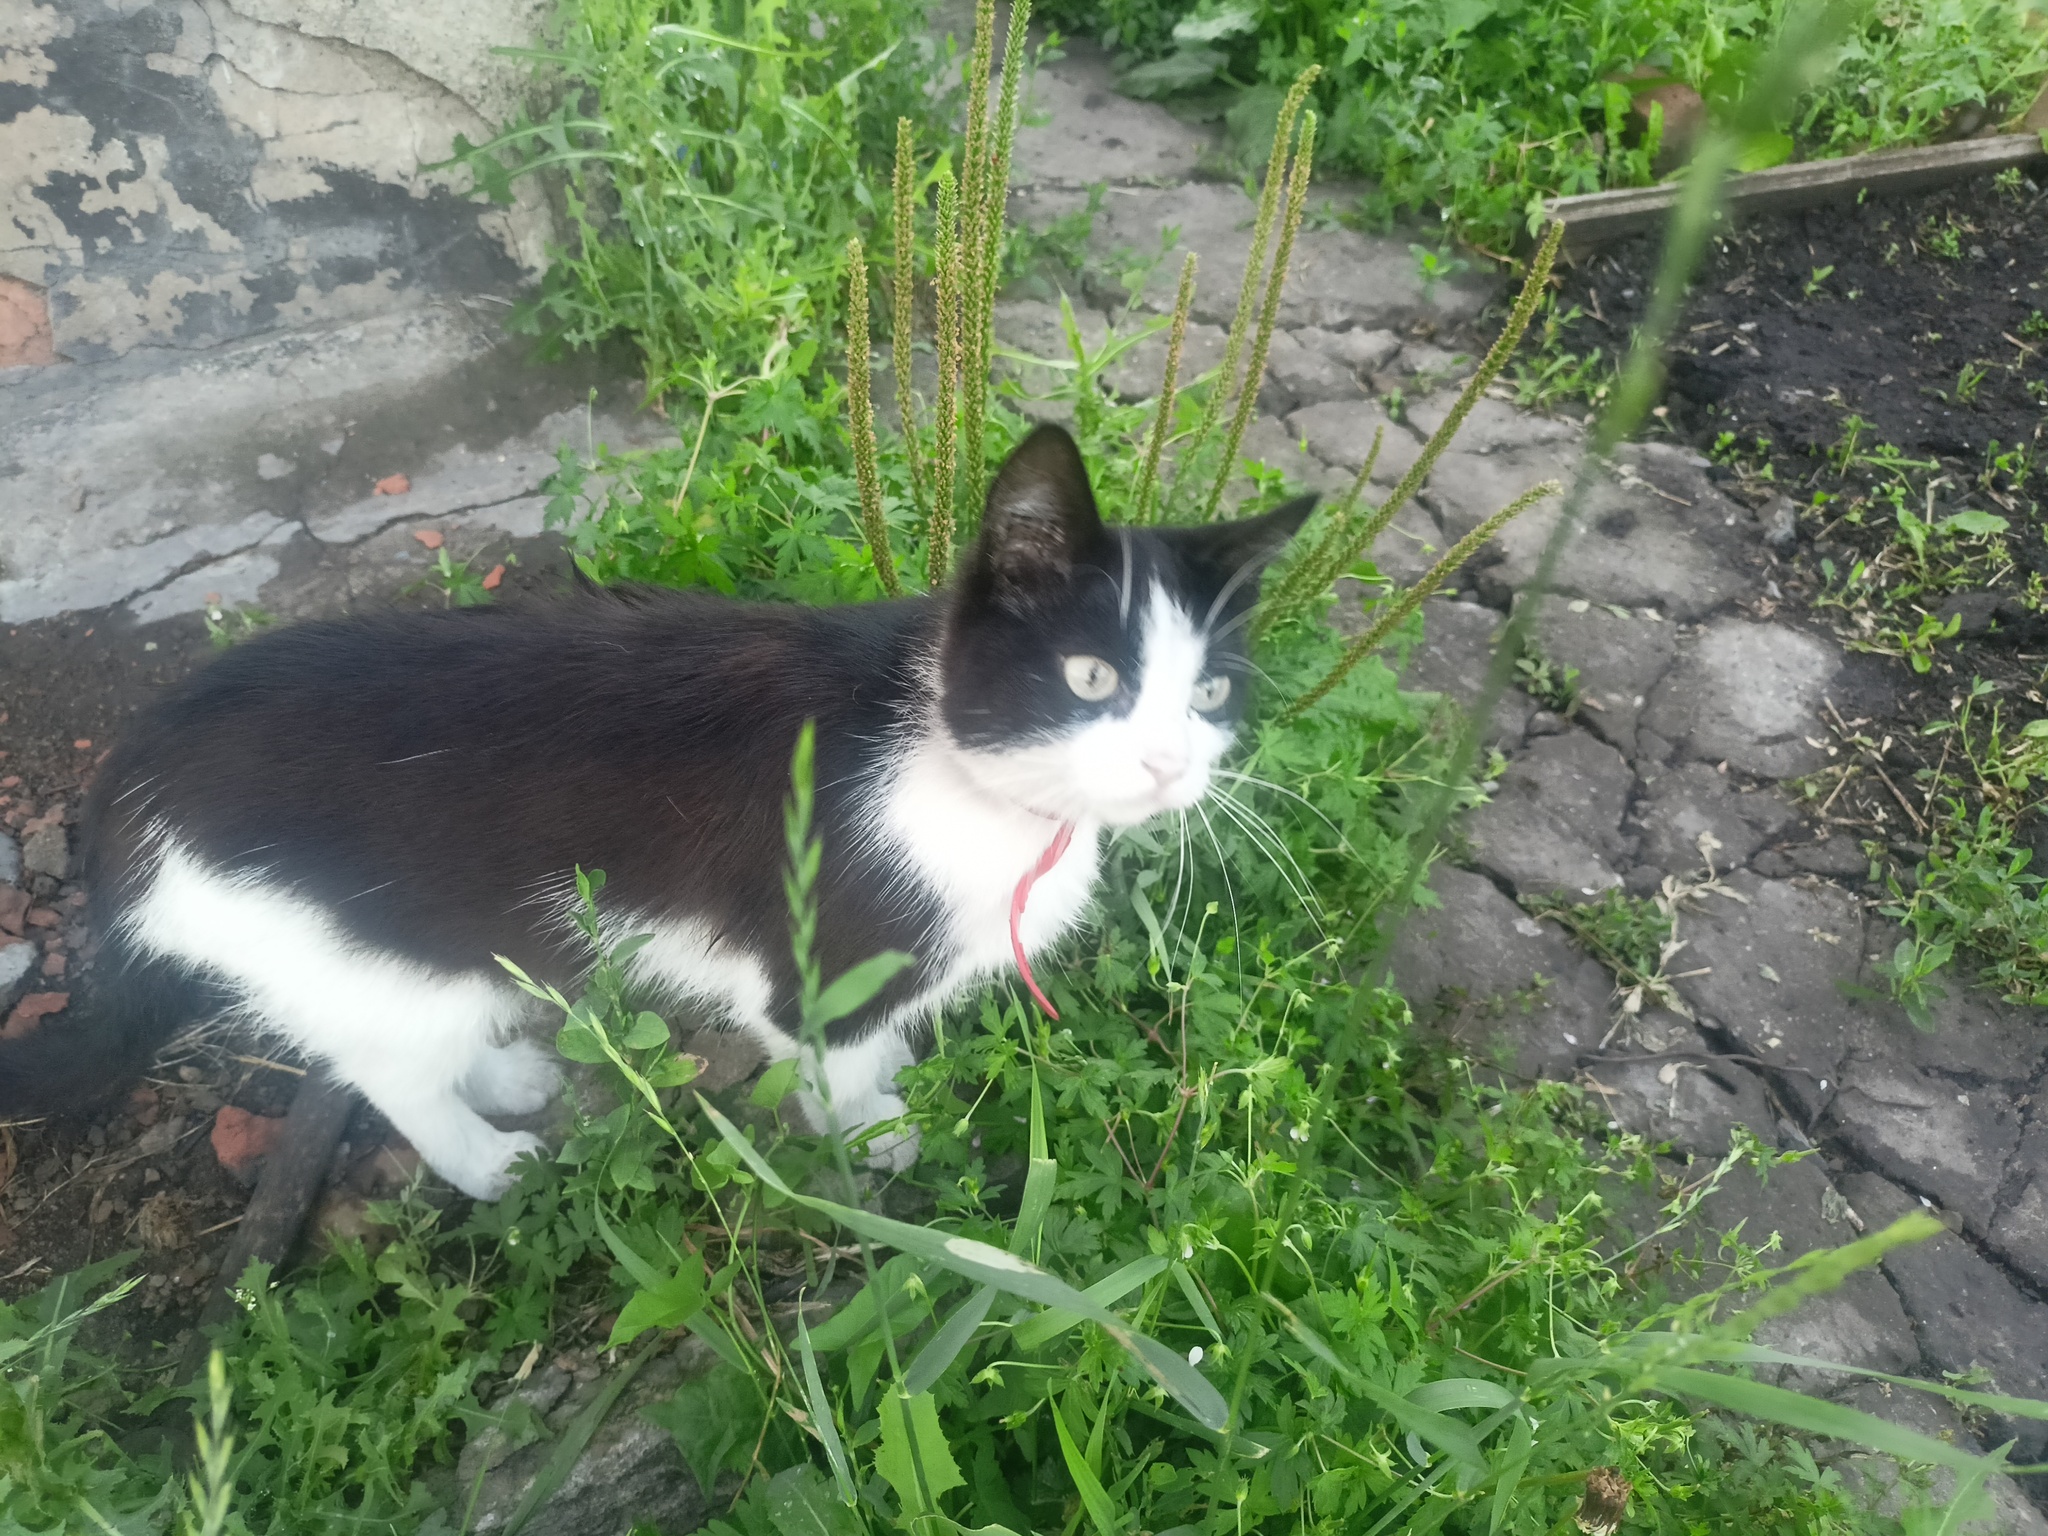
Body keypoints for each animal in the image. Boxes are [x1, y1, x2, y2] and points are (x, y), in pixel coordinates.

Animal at [0, 430, 1310, 1204]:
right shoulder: (820, 956)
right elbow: (828, 1053)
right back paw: (485, 1157)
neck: (962, 770)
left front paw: (889, 1089)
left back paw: (504, 1073)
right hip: (346, 932)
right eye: (1089, 678)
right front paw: (869, 1135)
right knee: (389, 1064)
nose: (1166, 765)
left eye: (1209, 692)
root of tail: (132, 781)